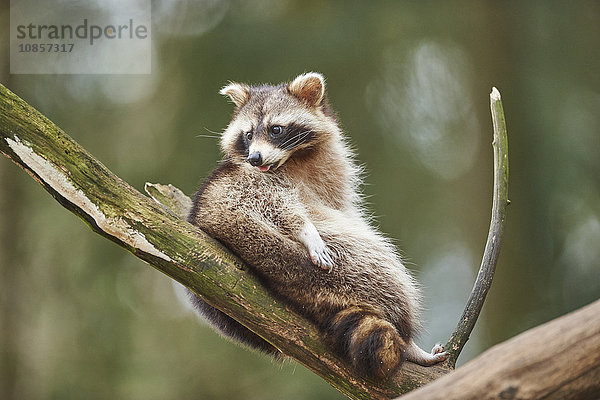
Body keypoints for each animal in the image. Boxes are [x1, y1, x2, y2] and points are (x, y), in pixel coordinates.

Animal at [188, 72, 446, 382]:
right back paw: (410, 344)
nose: (254, 158)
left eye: (276, 129)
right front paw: (305, 229)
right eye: (248, 134)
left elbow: (342, 206)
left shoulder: (332, 170)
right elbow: (278, 202)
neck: (295, 158)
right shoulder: (247, 180)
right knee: (384, 269)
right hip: (339, 263)